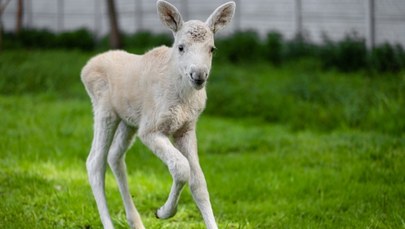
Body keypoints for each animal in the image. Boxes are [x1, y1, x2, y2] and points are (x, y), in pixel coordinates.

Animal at [80, 0, 235, 229]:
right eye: (181, 47)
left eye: (212, 49)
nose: (198, 75)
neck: (181, 98)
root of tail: (85, 69)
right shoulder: (150, 128)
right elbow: (181, 167)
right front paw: (163, 212)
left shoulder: (186, 128)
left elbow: (199, 182)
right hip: (104, 109)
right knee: (95, 162)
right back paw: (110, 223)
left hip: (129, 121)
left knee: (115, 156)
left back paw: (135, 222)